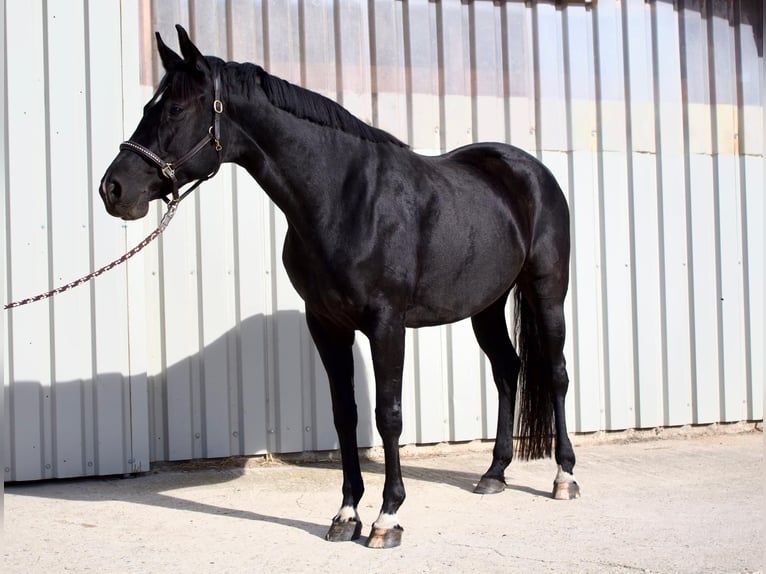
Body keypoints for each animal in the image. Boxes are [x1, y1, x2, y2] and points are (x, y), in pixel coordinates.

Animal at [100, 25, 580, 549]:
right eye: (150, 107)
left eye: (175, 109)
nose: (113, 189)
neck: (345, 198)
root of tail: (530, 170)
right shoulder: (327, 324)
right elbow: (344, 414)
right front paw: (347, 514)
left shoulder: (387, 324)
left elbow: (389, 414)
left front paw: (388, 517)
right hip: (486, 304)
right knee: (507, 370)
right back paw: (494, 474)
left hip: (547, 290)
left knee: (556, 373)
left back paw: (564, 477)